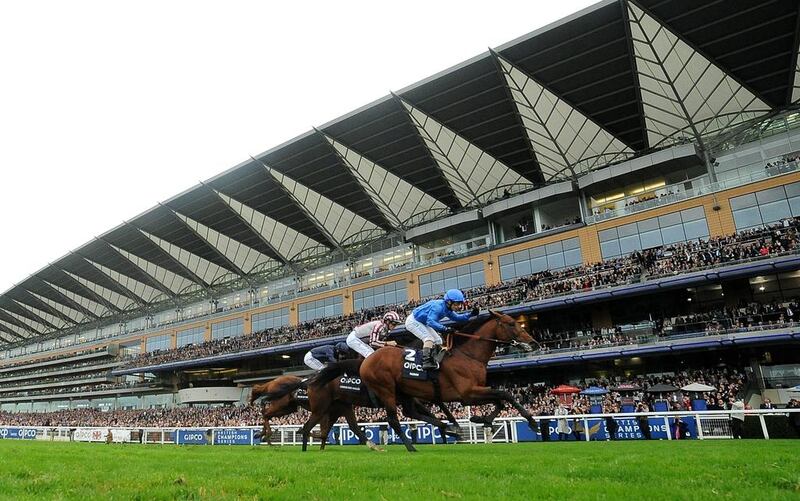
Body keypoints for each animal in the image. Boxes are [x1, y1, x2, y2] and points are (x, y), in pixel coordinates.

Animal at [310, 310, 540, 452]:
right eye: (511, 324)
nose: (534, 343)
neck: (467, 356)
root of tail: (365, 363)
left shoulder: (469, 392)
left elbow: (500, 399)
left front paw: (479, 419)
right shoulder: (467, 394)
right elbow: (505, 394)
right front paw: (532, 422)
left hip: (398, 393)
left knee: (407, 413)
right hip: (386, 390)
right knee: (393, 419)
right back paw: (412, 446)